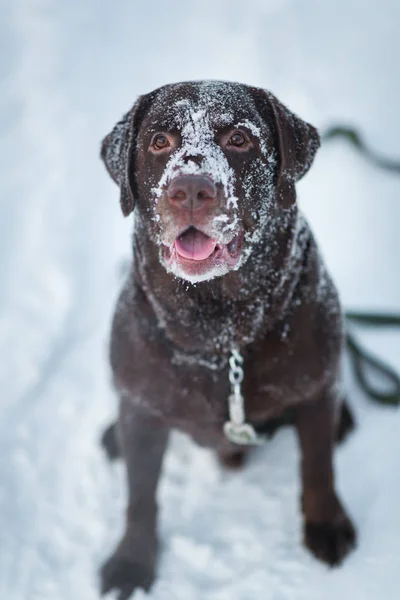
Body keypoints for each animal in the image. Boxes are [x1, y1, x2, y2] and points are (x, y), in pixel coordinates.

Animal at [100, 82, 356, 596]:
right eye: (159, 142)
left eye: (239, 138)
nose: (190, 189)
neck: (220, 331)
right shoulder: (142, 407)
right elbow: (141, 496)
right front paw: (132, 562)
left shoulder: (316, 391)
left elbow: (319, 468)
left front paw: (326, 526)